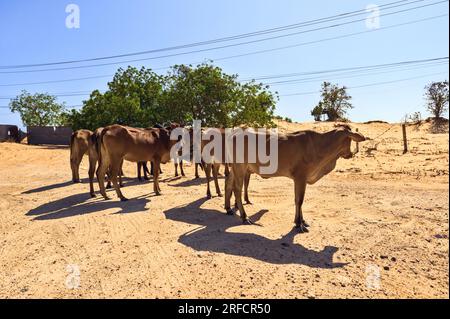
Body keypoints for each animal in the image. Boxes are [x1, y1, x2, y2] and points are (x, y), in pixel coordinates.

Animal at [225, 125, 366, 232]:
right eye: (349, 140)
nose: (350, 154)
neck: (319, 146)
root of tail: (236, 131)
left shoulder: (299, 180)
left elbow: (298, 200)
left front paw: (302, 220)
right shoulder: (300, 178)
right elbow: (299, 200)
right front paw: (299, 224)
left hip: (236, 168)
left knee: (228, 183)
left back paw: (228, 209)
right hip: (240, 167)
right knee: (237, 189)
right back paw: (244, 217)